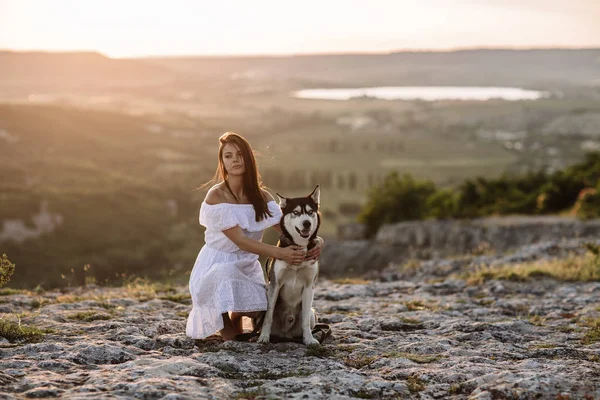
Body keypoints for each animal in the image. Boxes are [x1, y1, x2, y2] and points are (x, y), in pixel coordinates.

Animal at [258, 186, 324, 346]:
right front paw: (263, 337)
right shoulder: (275, 283)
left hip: (313, 313)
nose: (306, 223)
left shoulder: (309, 286)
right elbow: (268, 316)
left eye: (310, 212)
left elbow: (305, 322)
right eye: (296, 212)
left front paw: (309, 339)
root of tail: (284, 334)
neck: (300, 248)